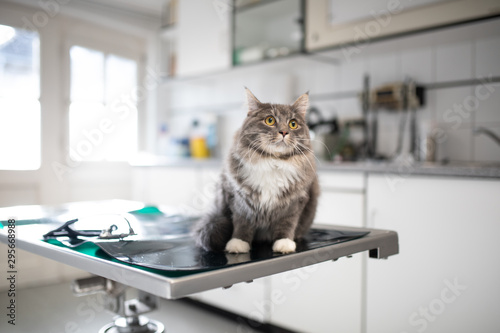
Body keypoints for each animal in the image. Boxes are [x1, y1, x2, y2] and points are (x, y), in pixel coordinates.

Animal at [193, 87, 318, 252]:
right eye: (270, 120)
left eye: (293, 124)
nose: (284, 132)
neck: (272, 162)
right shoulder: (239, 198)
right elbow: (242, 223)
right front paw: (238, 244)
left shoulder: (296, 201)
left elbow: (287, 223)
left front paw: (284, 243)